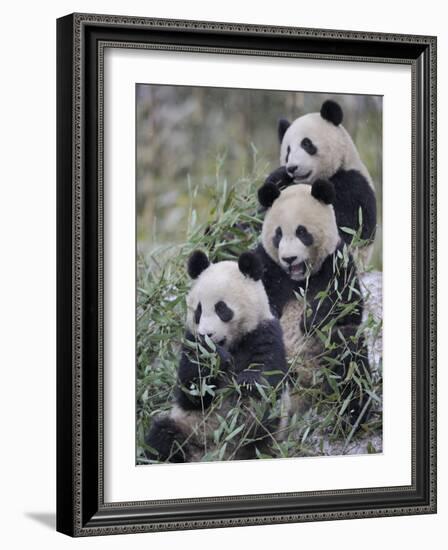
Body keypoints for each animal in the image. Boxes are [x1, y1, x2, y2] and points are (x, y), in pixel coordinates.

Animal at [145, 252, 288, 464]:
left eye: (222, 309)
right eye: (198, 311)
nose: (207, 334)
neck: (231, 344)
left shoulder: (265, 332)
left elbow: (269, 375)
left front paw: (246, 382)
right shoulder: (191, 343)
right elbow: (192, 391)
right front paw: (216, 359)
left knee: (261, 425)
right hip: (186, 425)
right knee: (161, 437)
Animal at [256, 181, 372, 426]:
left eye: (301, 232)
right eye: (278, 234)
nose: (289, 258)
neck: (299, 279)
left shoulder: (337, 262)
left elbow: (347, 305)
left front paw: (309, 320)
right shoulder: (267, 266)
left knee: (349, 356)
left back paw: (352, 417)